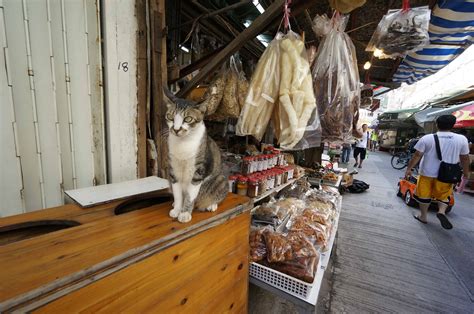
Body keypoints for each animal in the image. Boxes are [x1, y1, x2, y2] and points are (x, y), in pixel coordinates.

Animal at [164, 88, 229, 223]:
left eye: (188, 119)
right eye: (170, 117)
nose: (176, 129)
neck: (183, 143)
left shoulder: (199, 171)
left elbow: (190, 195)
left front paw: (184, 213)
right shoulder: (173, 170)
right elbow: (177, 193)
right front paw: (177, 209)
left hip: (220, 180)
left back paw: (211, 204)